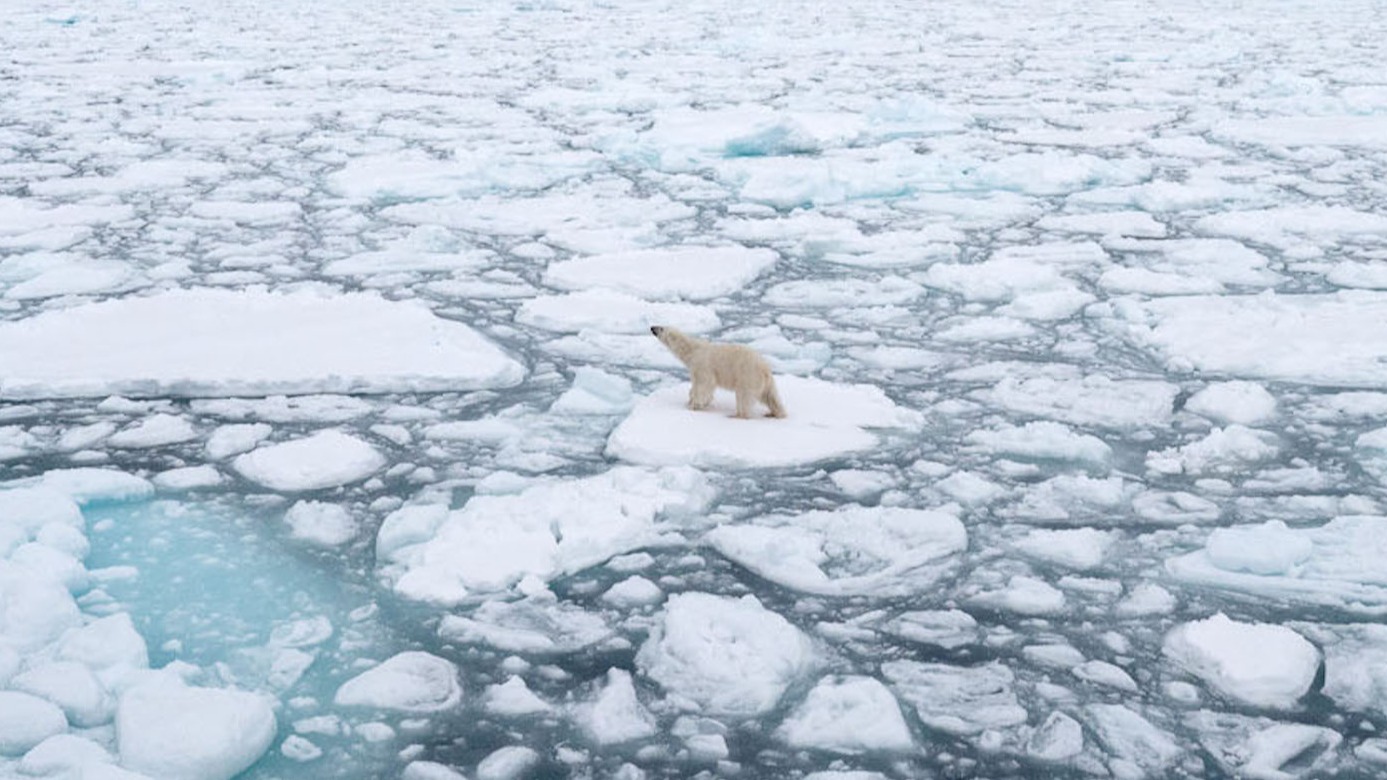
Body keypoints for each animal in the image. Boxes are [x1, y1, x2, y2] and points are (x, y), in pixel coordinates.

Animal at [650, 325, 787, 419]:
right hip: (766, 382)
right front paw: (690, 400)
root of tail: (765, 370)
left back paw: (736, 415)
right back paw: (775, 413)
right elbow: (696, 386)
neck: (693, 350)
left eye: (661, 328)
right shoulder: (694, 369)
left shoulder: (703, 366)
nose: (652, 327)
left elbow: (705, 386)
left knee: (743, 396)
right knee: (771, 397)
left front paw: (695, 405)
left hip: (748, 376)